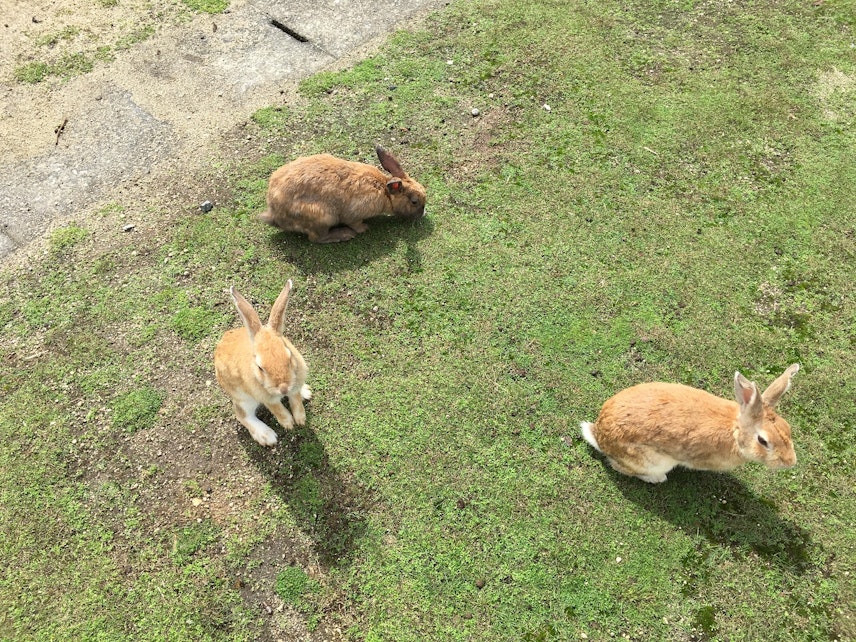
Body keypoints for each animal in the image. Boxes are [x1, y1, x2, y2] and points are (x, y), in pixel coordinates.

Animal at [214, 278, 310, 448]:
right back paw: (266, 436)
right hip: (244, 398)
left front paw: (300, 419)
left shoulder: (294, 385)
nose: (283, 388)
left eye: (289, 355)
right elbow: (277, 409)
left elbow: (296, 399)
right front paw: (289, 423)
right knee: (242, 415)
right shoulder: (265, 397)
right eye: (260, 367)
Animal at [258, 145, 424, 242]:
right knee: (316, 238)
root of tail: (275, 214)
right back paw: (344, 235)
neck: (385, 191)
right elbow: (355, 223)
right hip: (323, 216)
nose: (422, 214)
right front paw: (364, 228)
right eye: (414, 202)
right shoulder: (354, 215)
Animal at [580, 362, 804, 482]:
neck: (735, 431)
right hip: (652, 461)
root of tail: (599, 436)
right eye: (763, 441)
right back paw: (657, 479)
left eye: (788, 428)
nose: (791, 462)